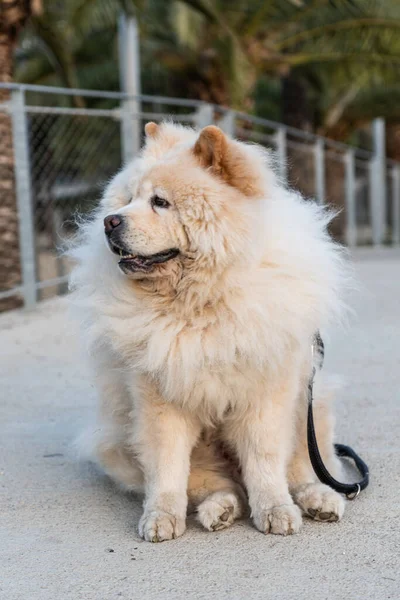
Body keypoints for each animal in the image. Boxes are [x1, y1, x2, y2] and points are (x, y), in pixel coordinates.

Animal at [71, 119, 346, 540]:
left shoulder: (267, 394)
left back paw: (318, 499)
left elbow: (266, 460)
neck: (199, 302)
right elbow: (167, 467)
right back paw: (221, 509)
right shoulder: (158, 397)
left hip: (312, 406)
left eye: (160, 202)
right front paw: (160, 517)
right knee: (215, 484)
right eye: (128, 198)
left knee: (302, 466)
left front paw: (276, 510)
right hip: (125, 436)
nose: (110, 220)